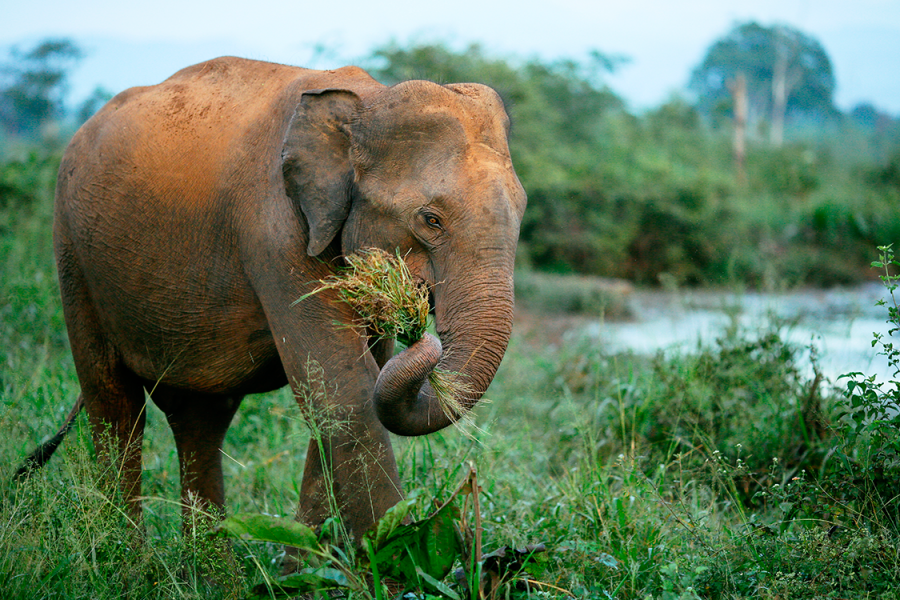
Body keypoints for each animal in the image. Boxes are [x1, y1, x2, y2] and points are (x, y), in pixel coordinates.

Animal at [21, 56, 524, 540]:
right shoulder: (275, 231)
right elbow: (344, 391)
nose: (422, 334)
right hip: (73, 252)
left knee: (199, 419)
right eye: (430, 220)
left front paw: (311, 560)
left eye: (520, 212)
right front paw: (395, 557)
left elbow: (352, 386)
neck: (367, 100)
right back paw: (125, 557)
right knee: (114, 406)